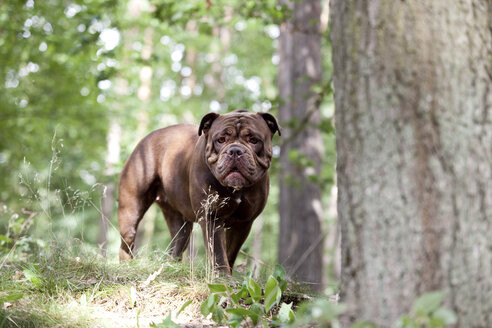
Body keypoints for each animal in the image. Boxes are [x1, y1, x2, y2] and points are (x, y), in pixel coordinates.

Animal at [117, 109, 280, 272]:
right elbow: (218, 253)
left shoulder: (243, 223)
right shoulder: (211, 217)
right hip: (130, 210)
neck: (235, 189)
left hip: (180, 224)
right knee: (127, 242)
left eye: (253, 140)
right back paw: (126, 265)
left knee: (178, 242)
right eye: (221, 140)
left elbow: (229, 253)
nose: (235, 150)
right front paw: (222, 276)